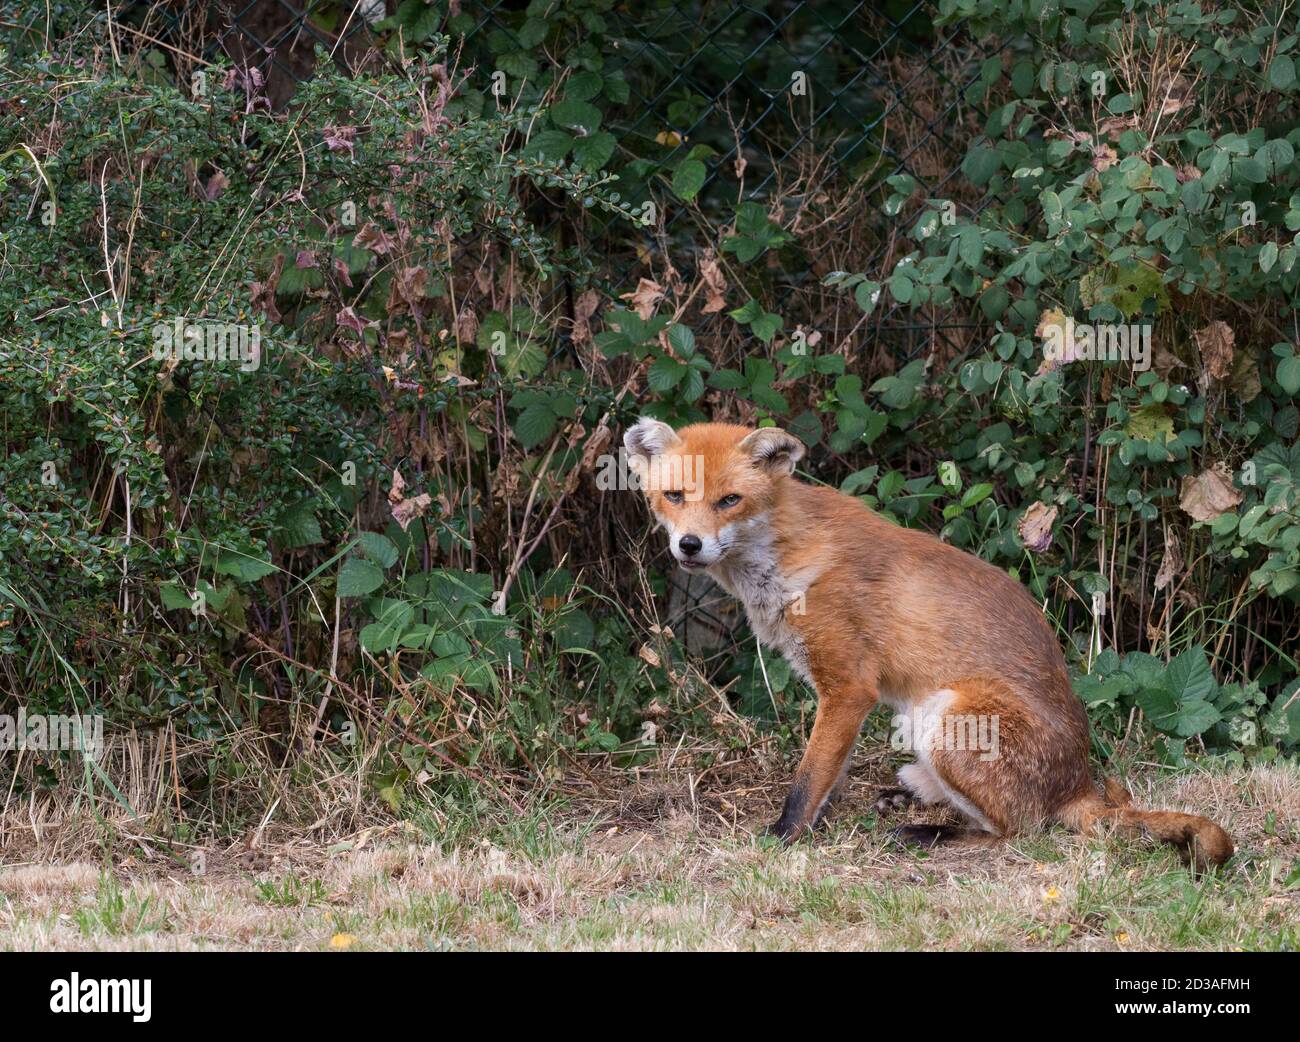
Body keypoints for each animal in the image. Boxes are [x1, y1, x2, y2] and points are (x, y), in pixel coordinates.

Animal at [623, 418, 1234, 869]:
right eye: (674, 495)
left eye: (729, 500)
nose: (689, 545)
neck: (783, 560)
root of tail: (1080, 785)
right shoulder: (843, 698)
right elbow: (829, 775)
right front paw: (817, 825)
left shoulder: (848, 687)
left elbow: (808, 779)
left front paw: (784, 837)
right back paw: (913, 794)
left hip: (949, 715)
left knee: (1021, 830)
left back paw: (931, 832)